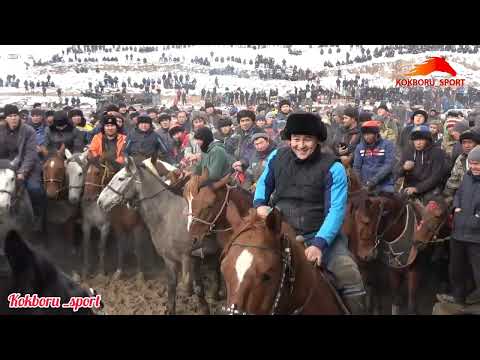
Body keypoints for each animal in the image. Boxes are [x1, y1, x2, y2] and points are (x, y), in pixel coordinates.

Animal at [97, 156, 210, 314]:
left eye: (120, 178)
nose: (100, 201)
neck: (167, 213)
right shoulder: (170, 259)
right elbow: (174, 287)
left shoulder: (189, 258)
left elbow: (191, 288)